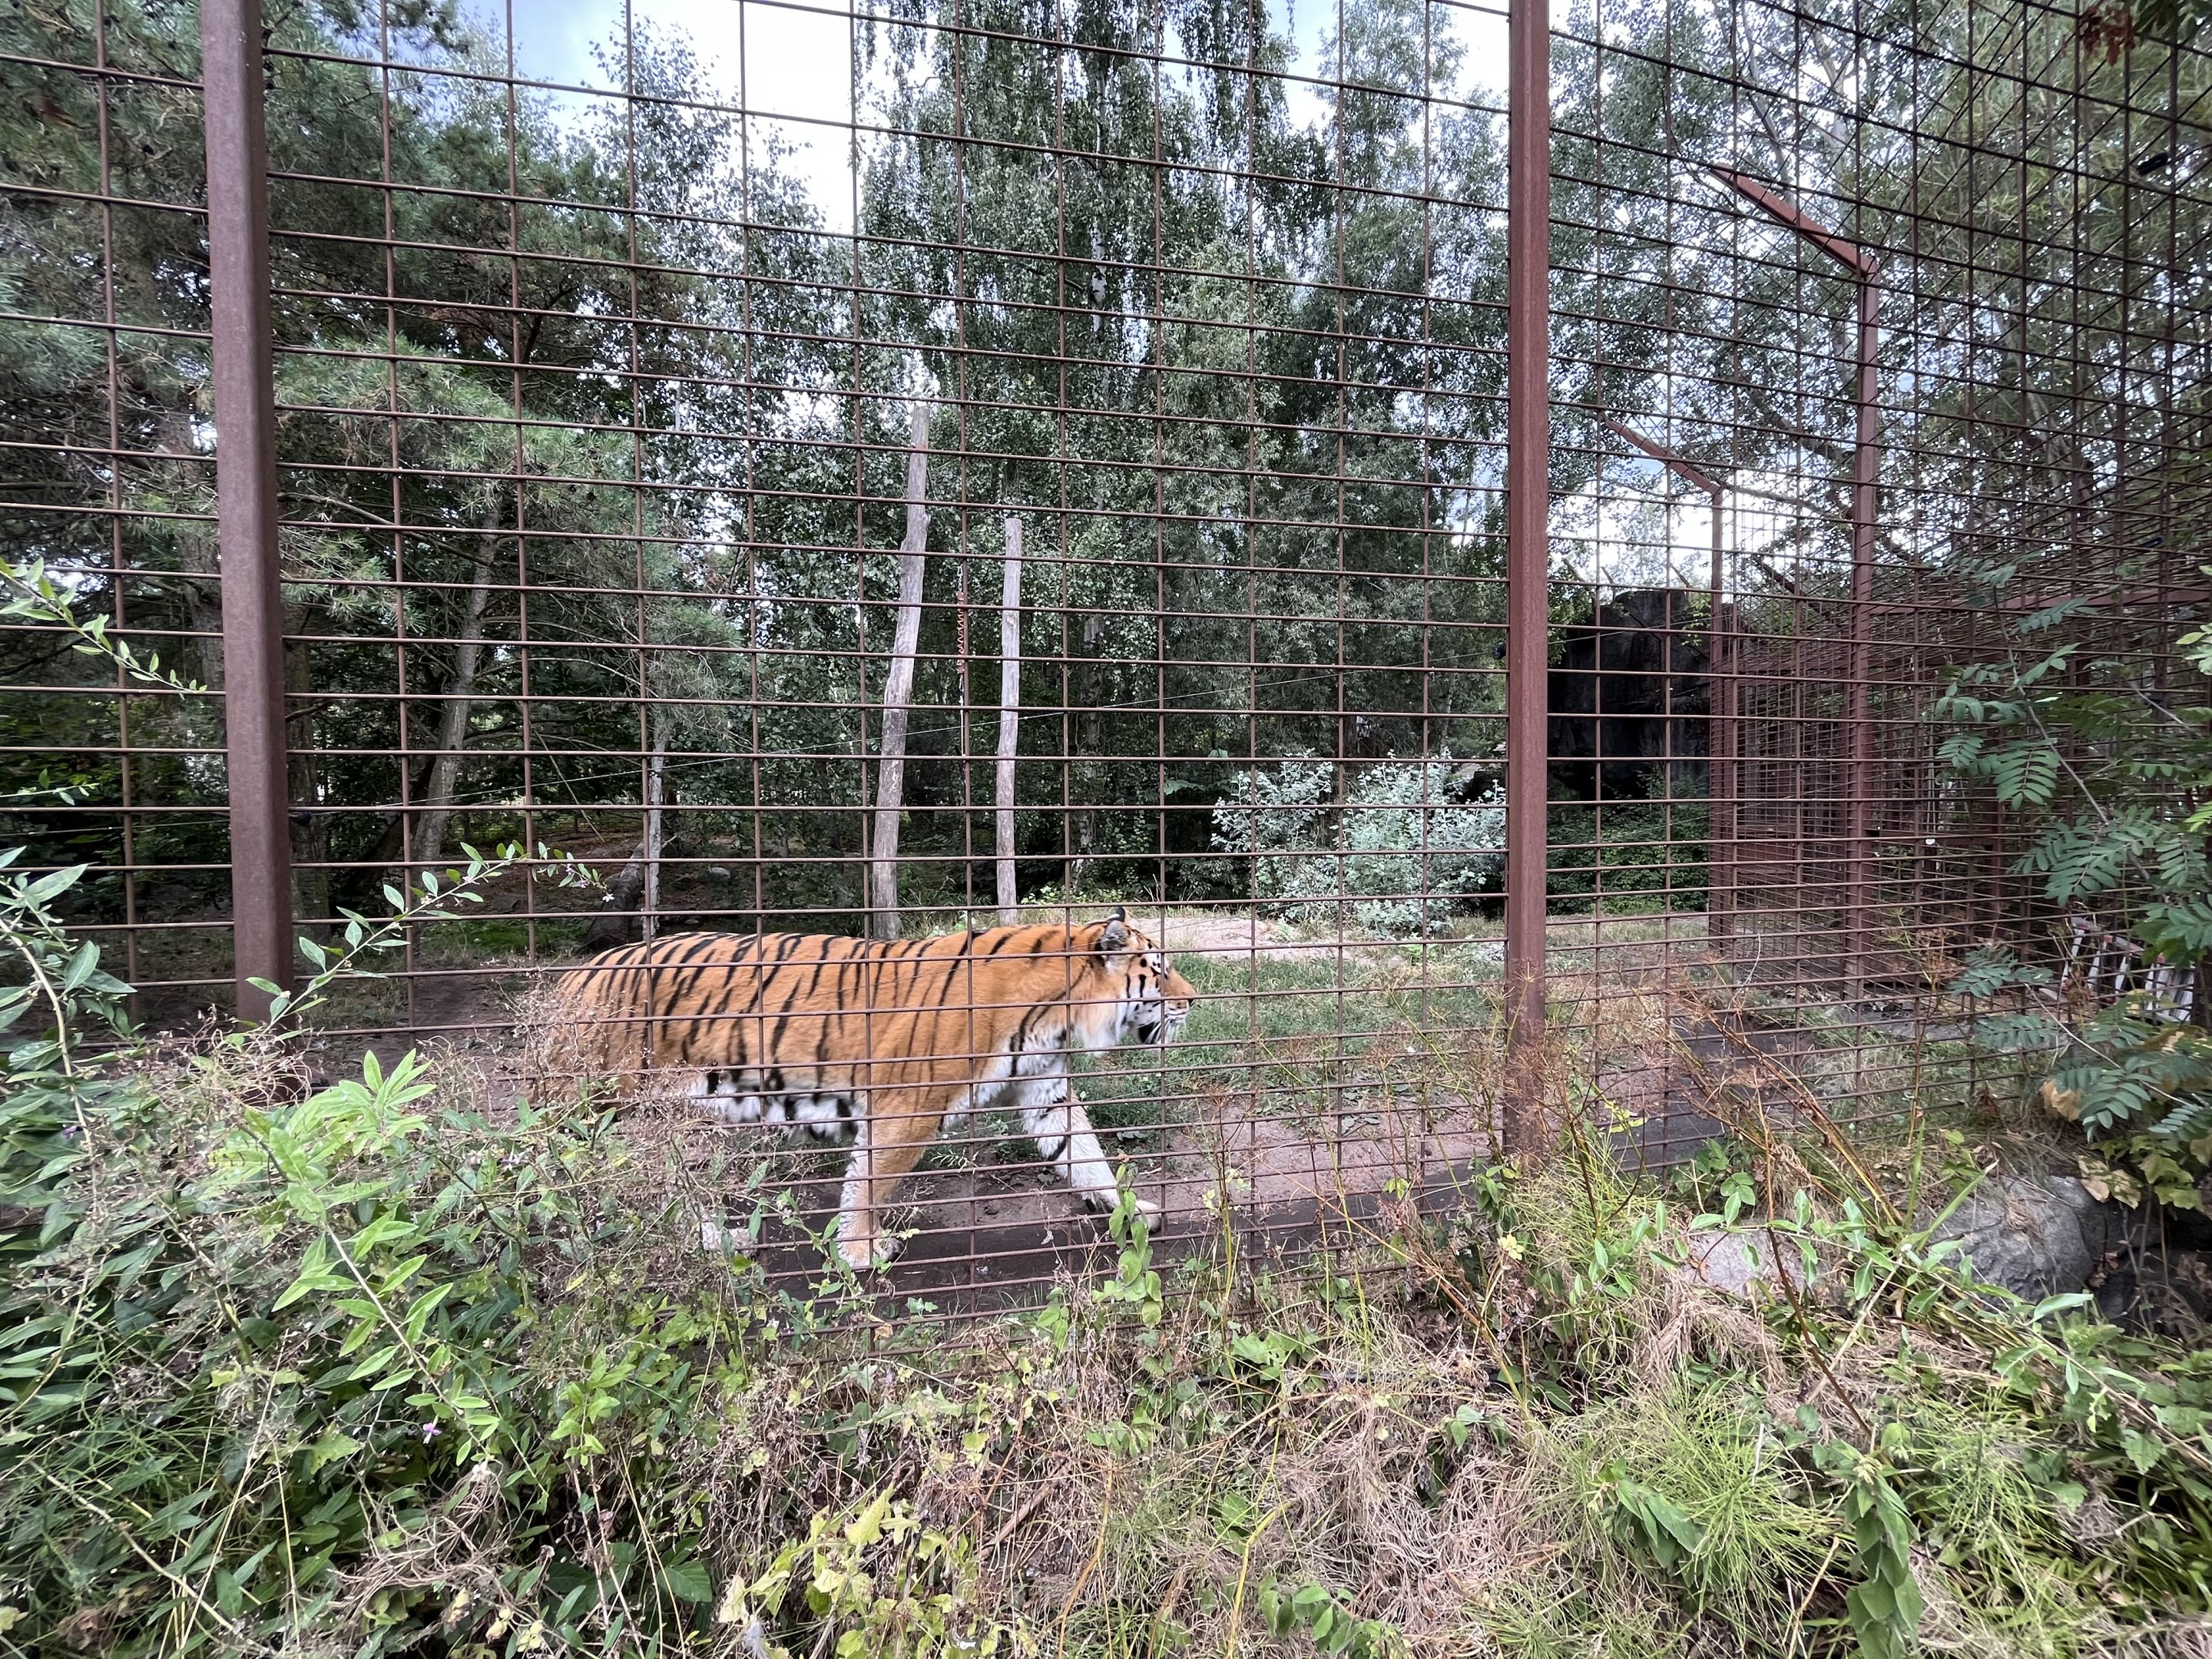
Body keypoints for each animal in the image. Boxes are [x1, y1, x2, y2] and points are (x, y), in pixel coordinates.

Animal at [555, 907, 1195, 1269]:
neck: (1058, 1011)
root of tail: (570, 980)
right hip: (612, 1111)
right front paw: (860, 1252)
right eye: (1160, 972)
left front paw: (1131, 1210)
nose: (1193, 1000)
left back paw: (715, 1240)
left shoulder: (1044, 1089)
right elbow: (870, 1182)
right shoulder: (908, 1106)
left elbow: (1085, 1153)